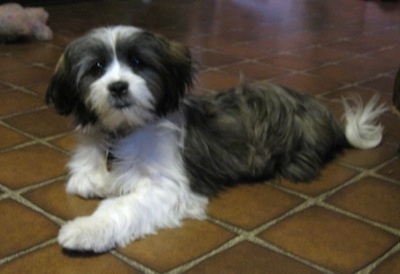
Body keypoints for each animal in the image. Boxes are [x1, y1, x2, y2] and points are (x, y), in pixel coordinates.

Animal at [46, 25, 388, 253]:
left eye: (139, 63)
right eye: (97, 67)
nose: (118, 87)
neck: (125, 131)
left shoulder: (170, 188)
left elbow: (120, 206)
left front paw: (86, 229)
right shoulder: (88, 168)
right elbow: (83, 181)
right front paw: (104, 184)